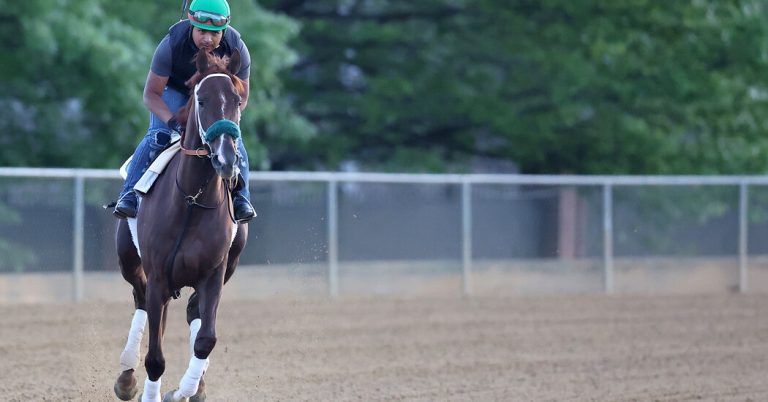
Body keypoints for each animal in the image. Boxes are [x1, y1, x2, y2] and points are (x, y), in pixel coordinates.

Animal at [114, 50, 249, 402]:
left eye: (237, 100)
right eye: (201, 100)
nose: (226, 158)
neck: (191, 200)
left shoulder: (214, 274)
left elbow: (206, 338)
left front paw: (183, 391)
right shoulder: (159, 275)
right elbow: (155, 357)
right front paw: (151, 393)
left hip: (229, 265)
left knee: (191, 313)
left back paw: (195, 385)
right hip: (129, 260)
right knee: (140, 300)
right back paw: (126, 377)